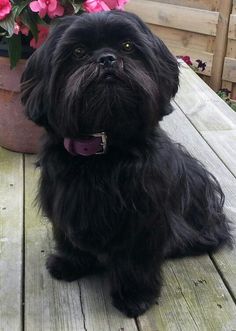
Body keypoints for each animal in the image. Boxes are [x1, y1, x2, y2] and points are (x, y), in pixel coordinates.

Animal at [20, 11, 230, 320]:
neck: (103, 148)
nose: (107, 58)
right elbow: (68, 238)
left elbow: (135, 259)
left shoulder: (142, 216)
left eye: (128, 47)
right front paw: (69, 264)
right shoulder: (62, 201)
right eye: (78, 52)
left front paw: (135, 296)